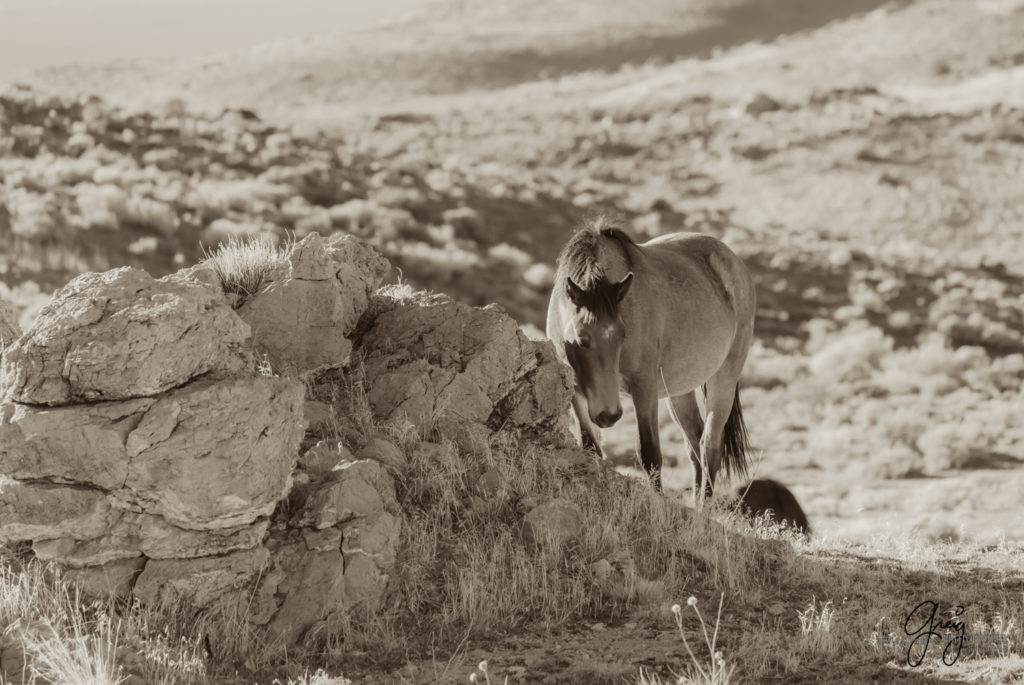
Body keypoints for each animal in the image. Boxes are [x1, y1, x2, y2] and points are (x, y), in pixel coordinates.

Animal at [548, 222, 757, 505]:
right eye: (582, 340)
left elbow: (649, 454)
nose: (608, 415)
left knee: (710, 446)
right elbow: (590, 448)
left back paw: (704, 509)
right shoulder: (577, 391)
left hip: (723, 377)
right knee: (694, 444)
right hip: (678, 391)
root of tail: (734, 262)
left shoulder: (643, 387)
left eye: (622, 336)